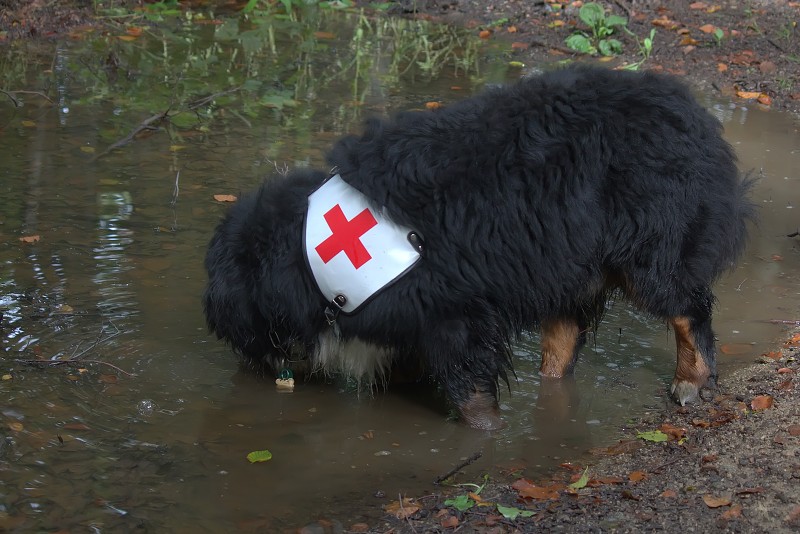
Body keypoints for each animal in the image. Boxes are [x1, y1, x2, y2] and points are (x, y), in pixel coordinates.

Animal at [203, 66, 752, 432]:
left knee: (686, 308)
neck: (308, 257)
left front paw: (487, 432)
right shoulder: (410, 319)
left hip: (648, 249)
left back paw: (691, 381)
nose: (247, 366)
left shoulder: (453, 311)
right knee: (563, 341)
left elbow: (470, 389)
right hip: (567, 263)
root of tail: (691, 112)